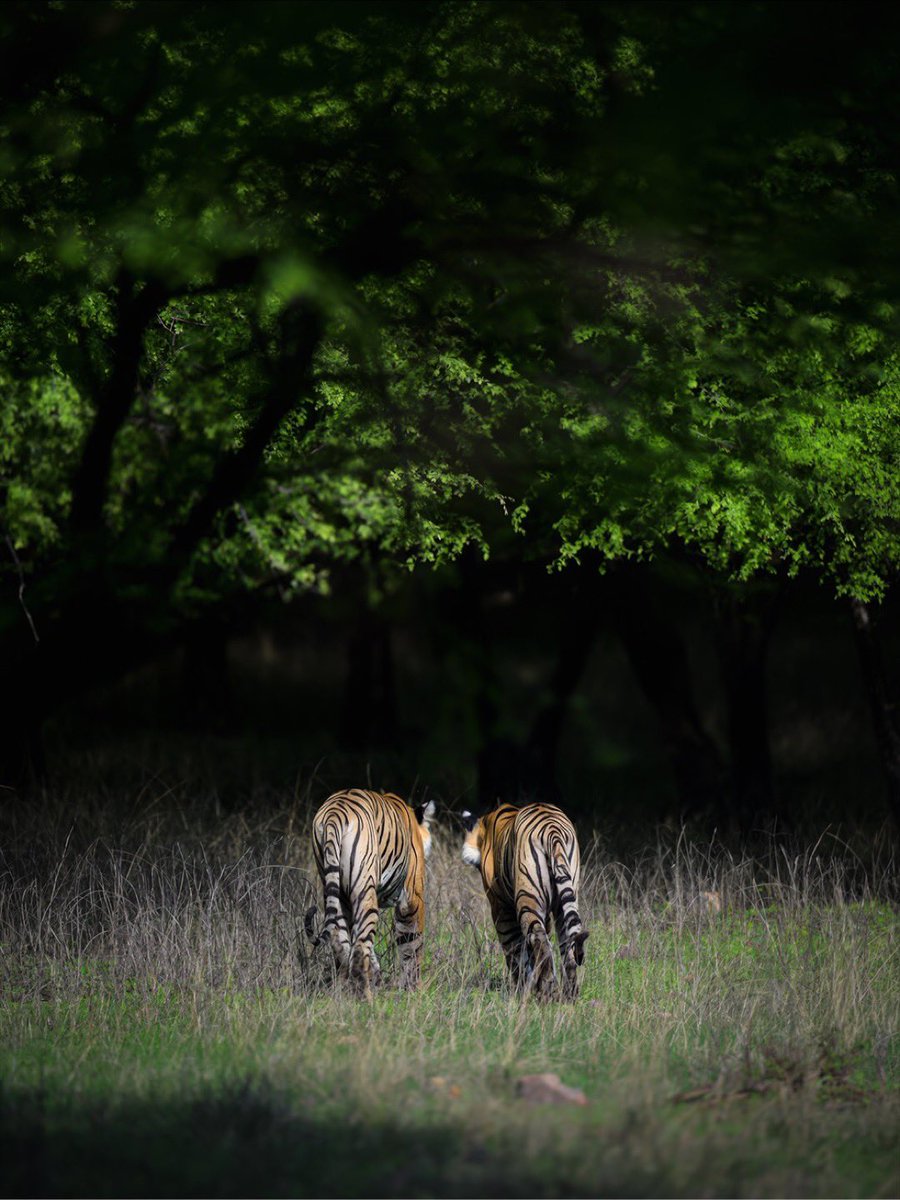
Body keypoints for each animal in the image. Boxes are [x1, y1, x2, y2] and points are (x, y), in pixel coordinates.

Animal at [305, 788, 435, 998]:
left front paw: (378, 979)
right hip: (364, 890)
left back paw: (342, 995)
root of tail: (334, 812)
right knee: (359, 949)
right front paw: (414, 990)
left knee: (342, 942)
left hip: (336, 890)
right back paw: (366, 999)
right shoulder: (412, 899)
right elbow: (412, 945)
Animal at [461, 802, 588, 1000]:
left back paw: (546, 993)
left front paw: (521, 988)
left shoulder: (501, 908)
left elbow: (515, 951)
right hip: (565, 899)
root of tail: (552, 830)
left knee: (540, 941)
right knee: (568, 945)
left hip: (528, 897)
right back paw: (569, 995)